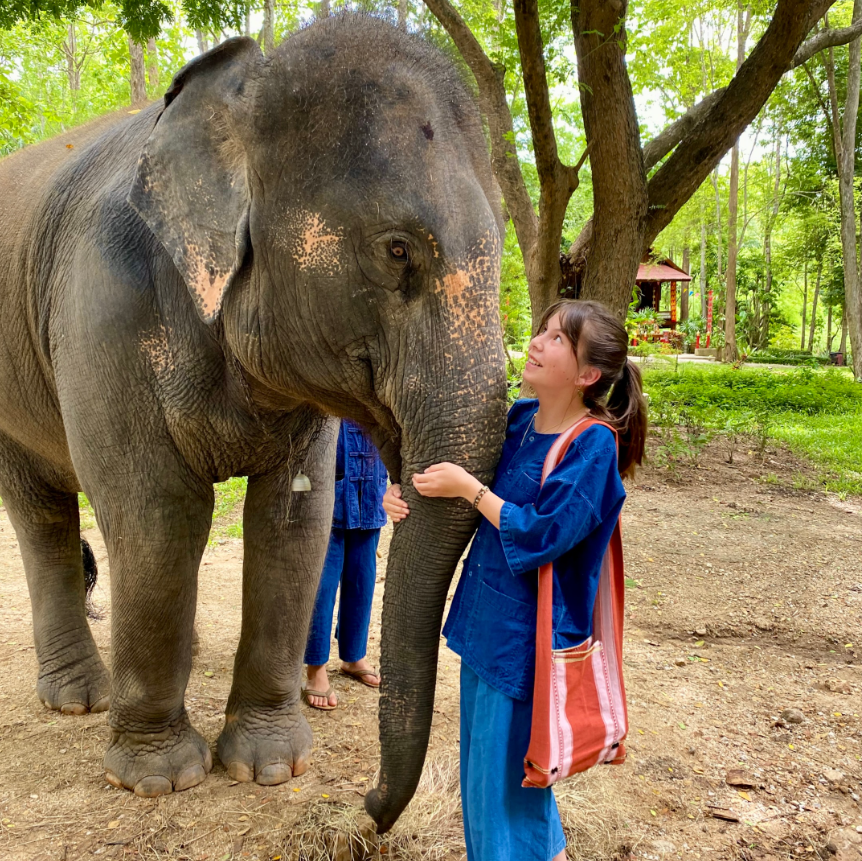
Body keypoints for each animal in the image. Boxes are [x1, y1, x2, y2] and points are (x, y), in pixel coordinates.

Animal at [0, 14, 507, 832]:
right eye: (397, 249)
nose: (368, 808)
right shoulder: (101, 303)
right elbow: (158, 513)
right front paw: (157, 779)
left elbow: (297, 517)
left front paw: (270, 768)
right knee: (42, 513)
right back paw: (81, 699)